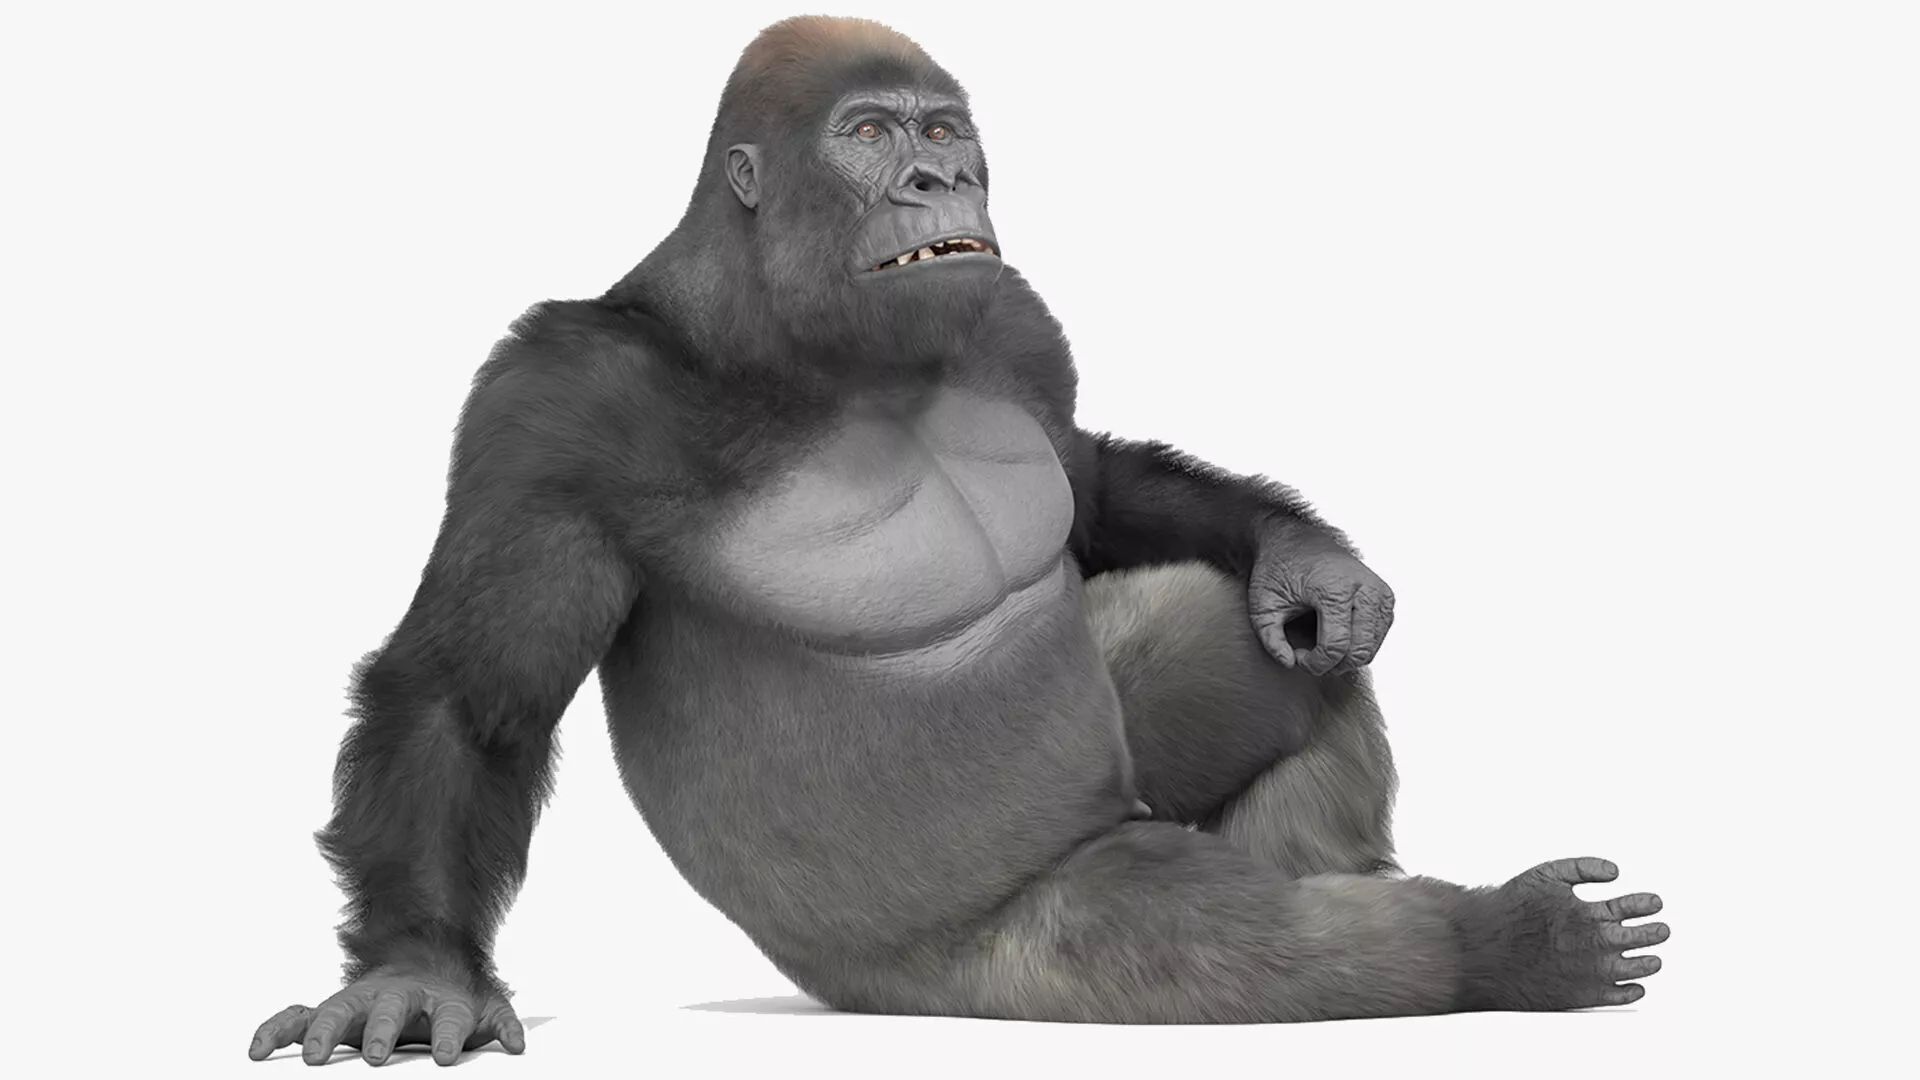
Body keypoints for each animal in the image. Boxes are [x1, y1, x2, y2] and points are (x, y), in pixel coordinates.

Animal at [249, 15, 1667, 1066]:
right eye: (870, 135)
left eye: (944, 132)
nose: (944, 182)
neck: (775, 326)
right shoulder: (552, 410)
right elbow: (468, 694)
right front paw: (417, 970)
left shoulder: (1013, 322)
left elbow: (1090, 489)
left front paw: (1305, 552)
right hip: (991, 966)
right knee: (1219, 945)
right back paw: (1499, 947)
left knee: (1258, 647)